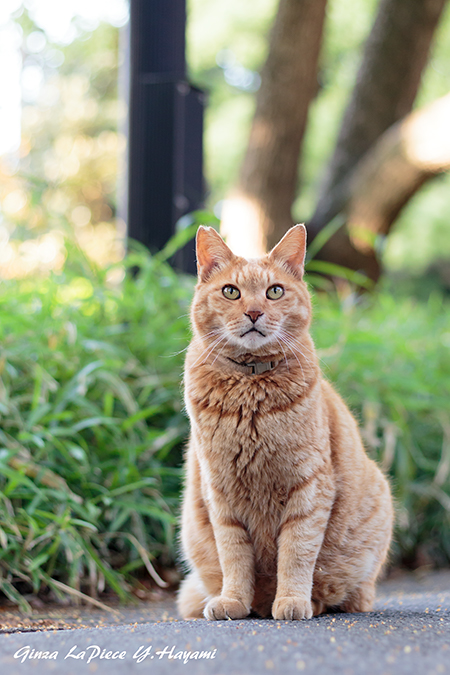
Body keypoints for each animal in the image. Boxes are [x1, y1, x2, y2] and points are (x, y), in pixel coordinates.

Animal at [178, 227, 392, 624]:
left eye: (274, 291)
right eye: (231, 291)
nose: (254, 312)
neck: (250, 389)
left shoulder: (309, 487)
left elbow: (296, 552)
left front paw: (292, 600)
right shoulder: (221, 493)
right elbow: (234, 556)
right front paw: (234, 601)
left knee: (351, 593)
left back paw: (313, 602)